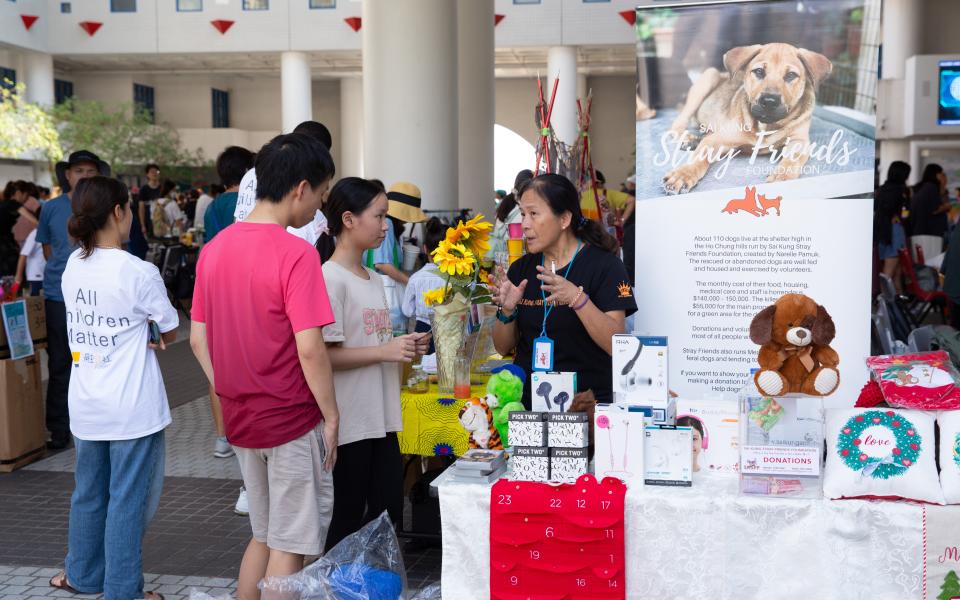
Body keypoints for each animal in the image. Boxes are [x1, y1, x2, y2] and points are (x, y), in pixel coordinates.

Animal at [660, 44, 832, 195]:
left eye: (791, 75)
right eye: (759, 71)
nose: (769, 101)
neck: (766, 125)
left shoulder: (799, 141)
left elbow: (793, 159)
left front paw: (782, 176)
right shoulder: (719, 139)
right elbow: (701, 156)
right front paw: (684, 174)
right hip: (708, 78)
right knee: (679, 123)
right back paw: (688, 137)